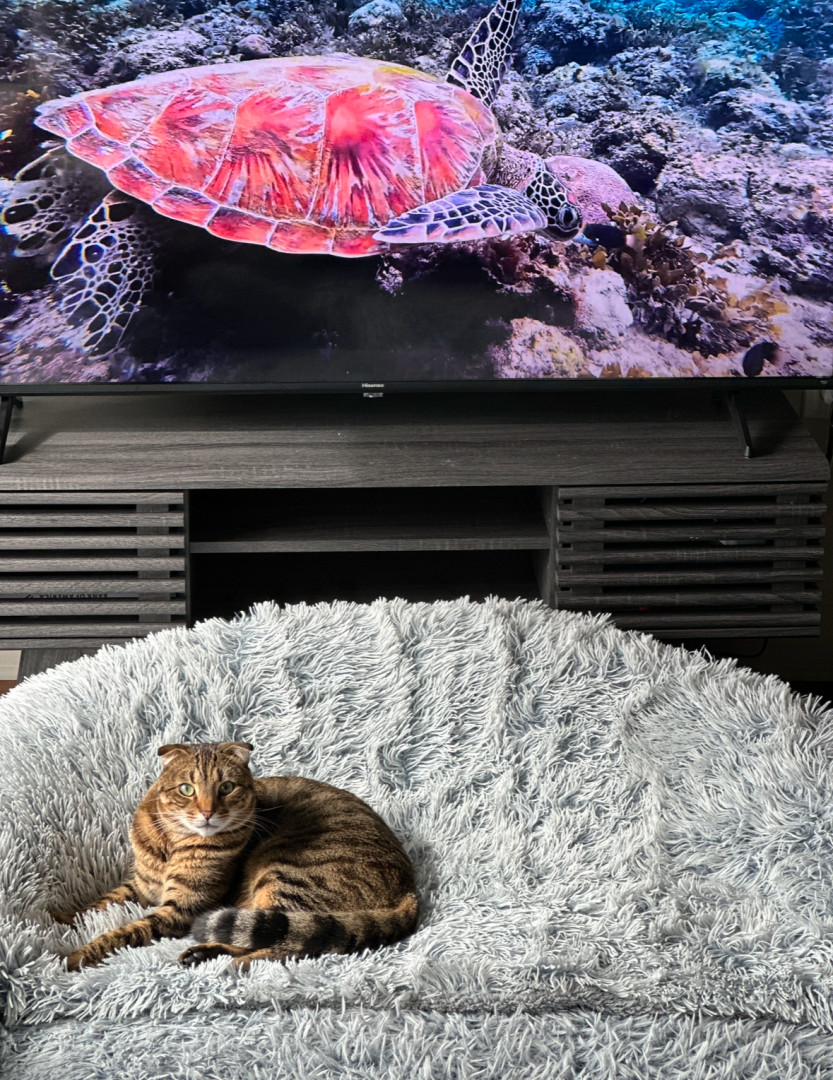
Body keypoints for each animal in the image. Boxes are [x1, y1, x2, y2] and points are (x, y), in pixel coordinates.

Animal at [52, 741, 418, 971]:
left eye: (226, 788)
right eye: (187, 789)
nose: (207, 812)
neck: (172, 842)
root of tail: (410, 888)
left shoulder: (182, 907)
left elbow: (125, 931)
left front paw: (79, 955)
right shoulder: (140, 886)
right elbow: (97, 904)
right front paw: (60, 920)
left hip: (286, 873)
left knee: (289, 942)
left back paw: (227, 961)